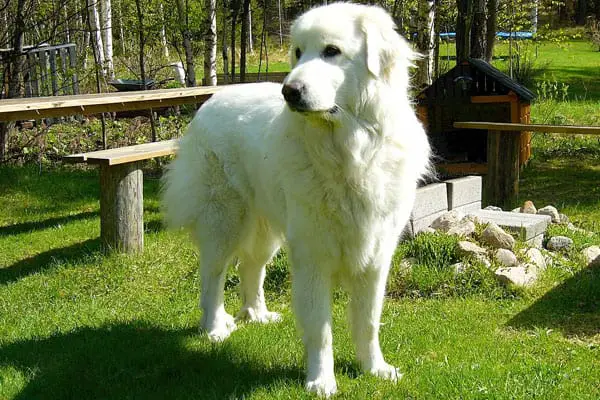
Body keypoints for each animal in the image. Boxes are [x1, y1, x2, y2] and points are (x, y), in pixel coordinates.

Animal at [162, 3, 428, 396]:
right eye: (298, 53)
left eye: (331, 51)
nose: (289, 91)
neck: (351, 151)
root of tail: (213, 98)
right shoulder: (312, 256)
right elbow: (320, 330)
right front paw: (321, 381)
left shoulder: (376, 256)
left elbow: (368, 321)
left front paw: (374, 369)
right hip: (224, 220)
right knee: (212, 274)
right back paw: (213, 328)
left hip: (266, 229)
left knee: (250, 267)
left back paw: (257, 315)